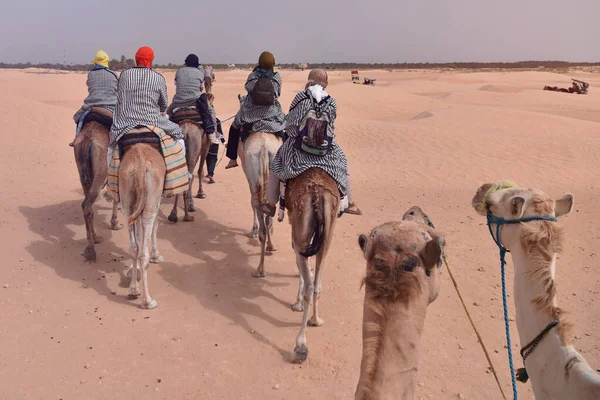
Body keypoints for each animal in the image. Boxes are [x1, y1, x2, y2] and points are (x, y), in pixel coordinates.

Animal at [73, 119, 122, 262]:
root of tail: (87, 139)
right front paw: (115, 224)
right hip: (101, 171)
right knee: (86, 204)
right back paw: (90, 249)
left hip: (83, 174)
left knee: (88, 206)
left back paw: (95, 239)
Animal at [118, 141, 165, 310]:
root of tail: (139, 163)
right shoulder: (158, 199)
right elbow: (156, 225)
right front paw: (156, 256)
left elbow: (138, 236)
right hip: (151, 198)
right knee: (144, 250)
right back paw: (148, 301)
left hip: (126, 195)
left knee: (133, 247)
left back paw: (133, 290)